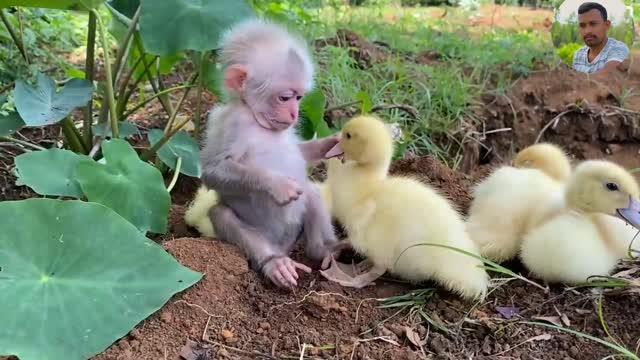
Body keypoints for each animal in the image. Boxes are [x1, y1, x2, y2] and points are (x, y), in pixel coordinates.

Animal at [202, 19, 344, 290]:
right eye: (285, 97)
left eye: (299, 98)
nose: (294, 114)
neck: (257, 121)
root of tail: (283, 245)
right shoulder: (232, 124)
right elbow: (212, 171)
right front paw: (277, 185)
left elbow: (302, 154)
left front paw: (335, 143)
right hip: (262, 235)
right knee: (221, 213)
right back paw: (274, 263)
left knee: (311, 191)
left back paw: (325, 249)